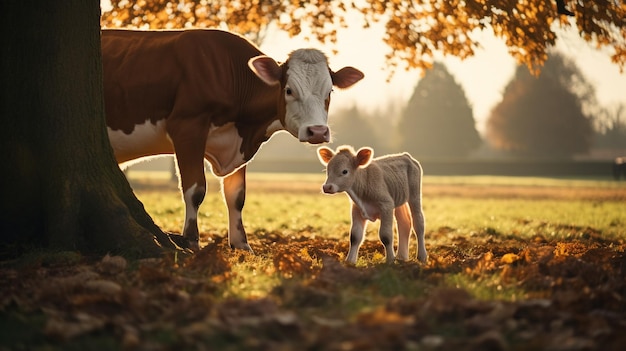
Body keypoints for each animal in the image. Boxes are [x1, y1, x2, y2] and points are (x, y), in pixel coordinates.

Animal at [101, 29, 360, 250]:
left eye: (330, 92)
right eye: (289, 90)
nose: (317, 131)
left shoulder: (239, 144)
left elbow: (237, 196)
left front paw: (241, 245)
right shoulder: (187, 127)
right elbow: (195, 189)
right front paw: (191, 241)